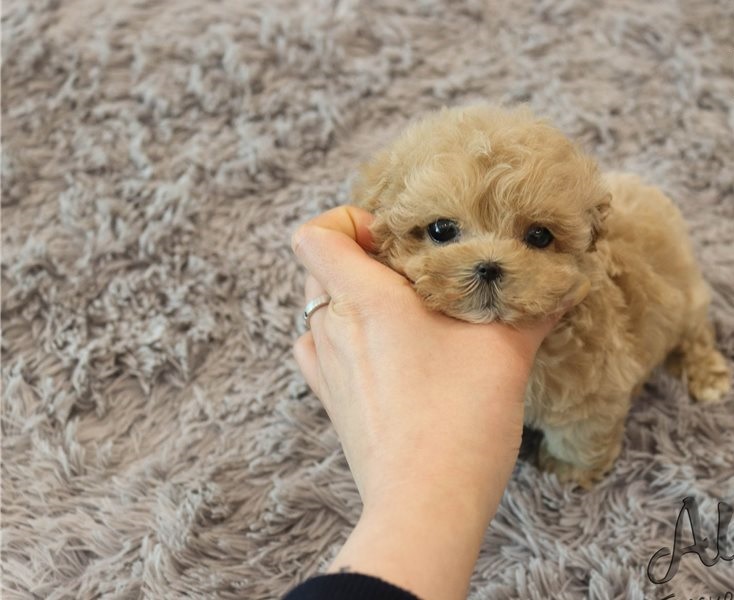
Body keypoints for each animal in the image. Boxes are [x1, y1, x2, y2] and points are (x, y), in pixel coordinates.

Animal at [354, 103, 732, 488]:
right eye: (441, 229)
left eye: (539, 236)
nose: (488, 267)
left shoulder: (593, 389)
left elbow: (579, 434)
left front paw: (567, 471)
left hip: (688, 300)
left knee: (696, 335)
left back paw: (707, 375)